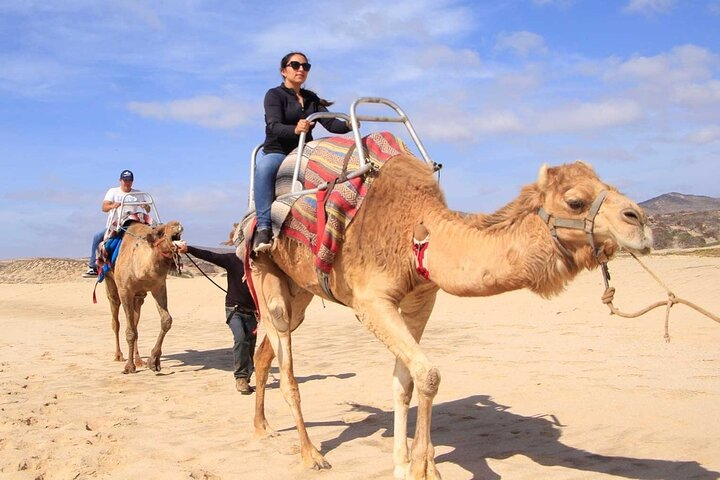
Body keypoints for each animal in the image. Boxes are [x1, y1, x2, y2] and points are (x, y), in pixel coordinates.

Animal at [102, 221, 184, 376]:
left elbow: (166, 320)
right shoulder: (125, 291)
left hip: (139, 297)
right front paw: (129, 367)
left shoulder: (158, 287)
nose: (176, 224)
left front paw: (154, 361)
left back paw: (139, 361)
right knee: (116, 321)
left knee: (135, 322)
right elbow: (130, 331)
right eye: (159, 231)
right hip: (110, 283)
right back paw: (119, 356)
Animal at [246, 156, 652, 478]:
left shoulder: (421, 300)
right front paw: (424, 469)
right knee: (285, 363)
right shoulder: (371, 300)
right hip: (264, 272)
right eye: (575, 200)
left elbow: (406, 382)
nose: (641, 220)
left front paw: (404, 464)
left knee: (264, 352)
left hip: (300, 288)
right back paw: (311, 454)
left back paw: (263, 427)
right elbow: (428, 374)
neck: (419, 233)